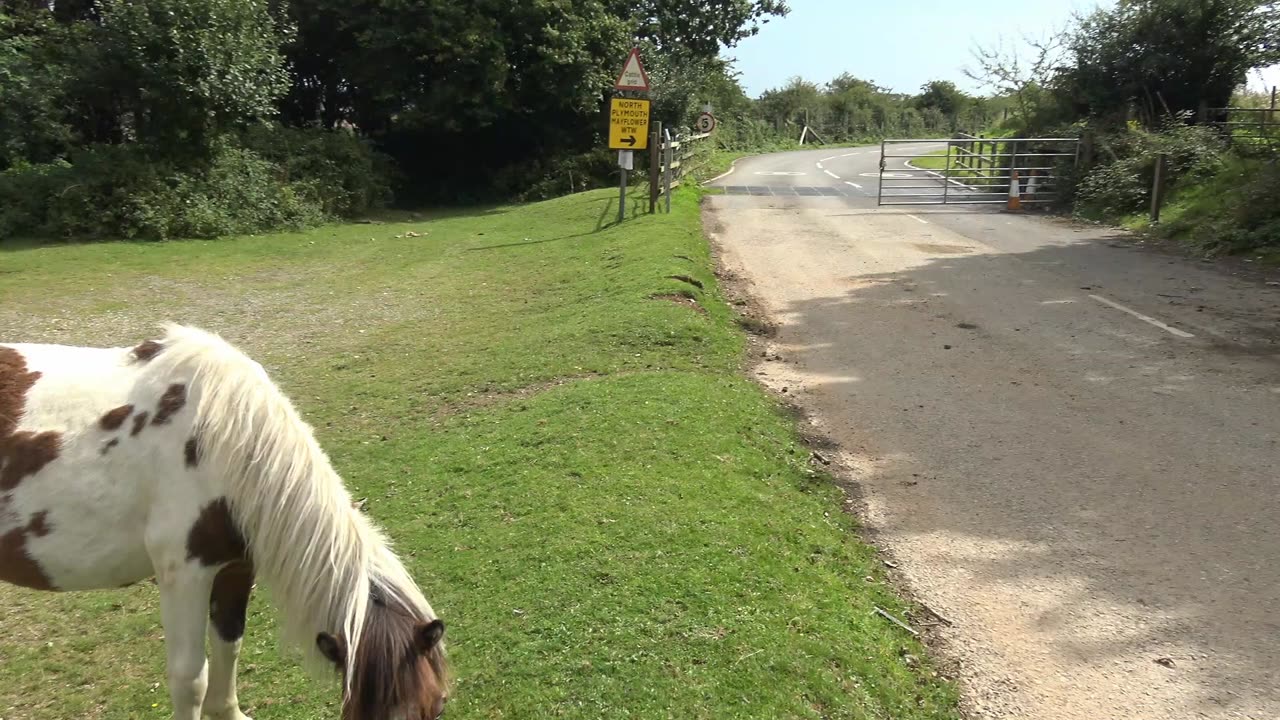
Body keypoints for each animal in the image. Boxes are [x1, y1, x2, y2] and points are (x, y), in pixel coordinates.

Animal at [0, 325, 450, 717]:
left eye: (437, 706)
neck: (225, 438)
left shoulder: (236, 564)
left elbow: (230, 642)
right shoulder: (184, 573)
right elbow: (190, 678)